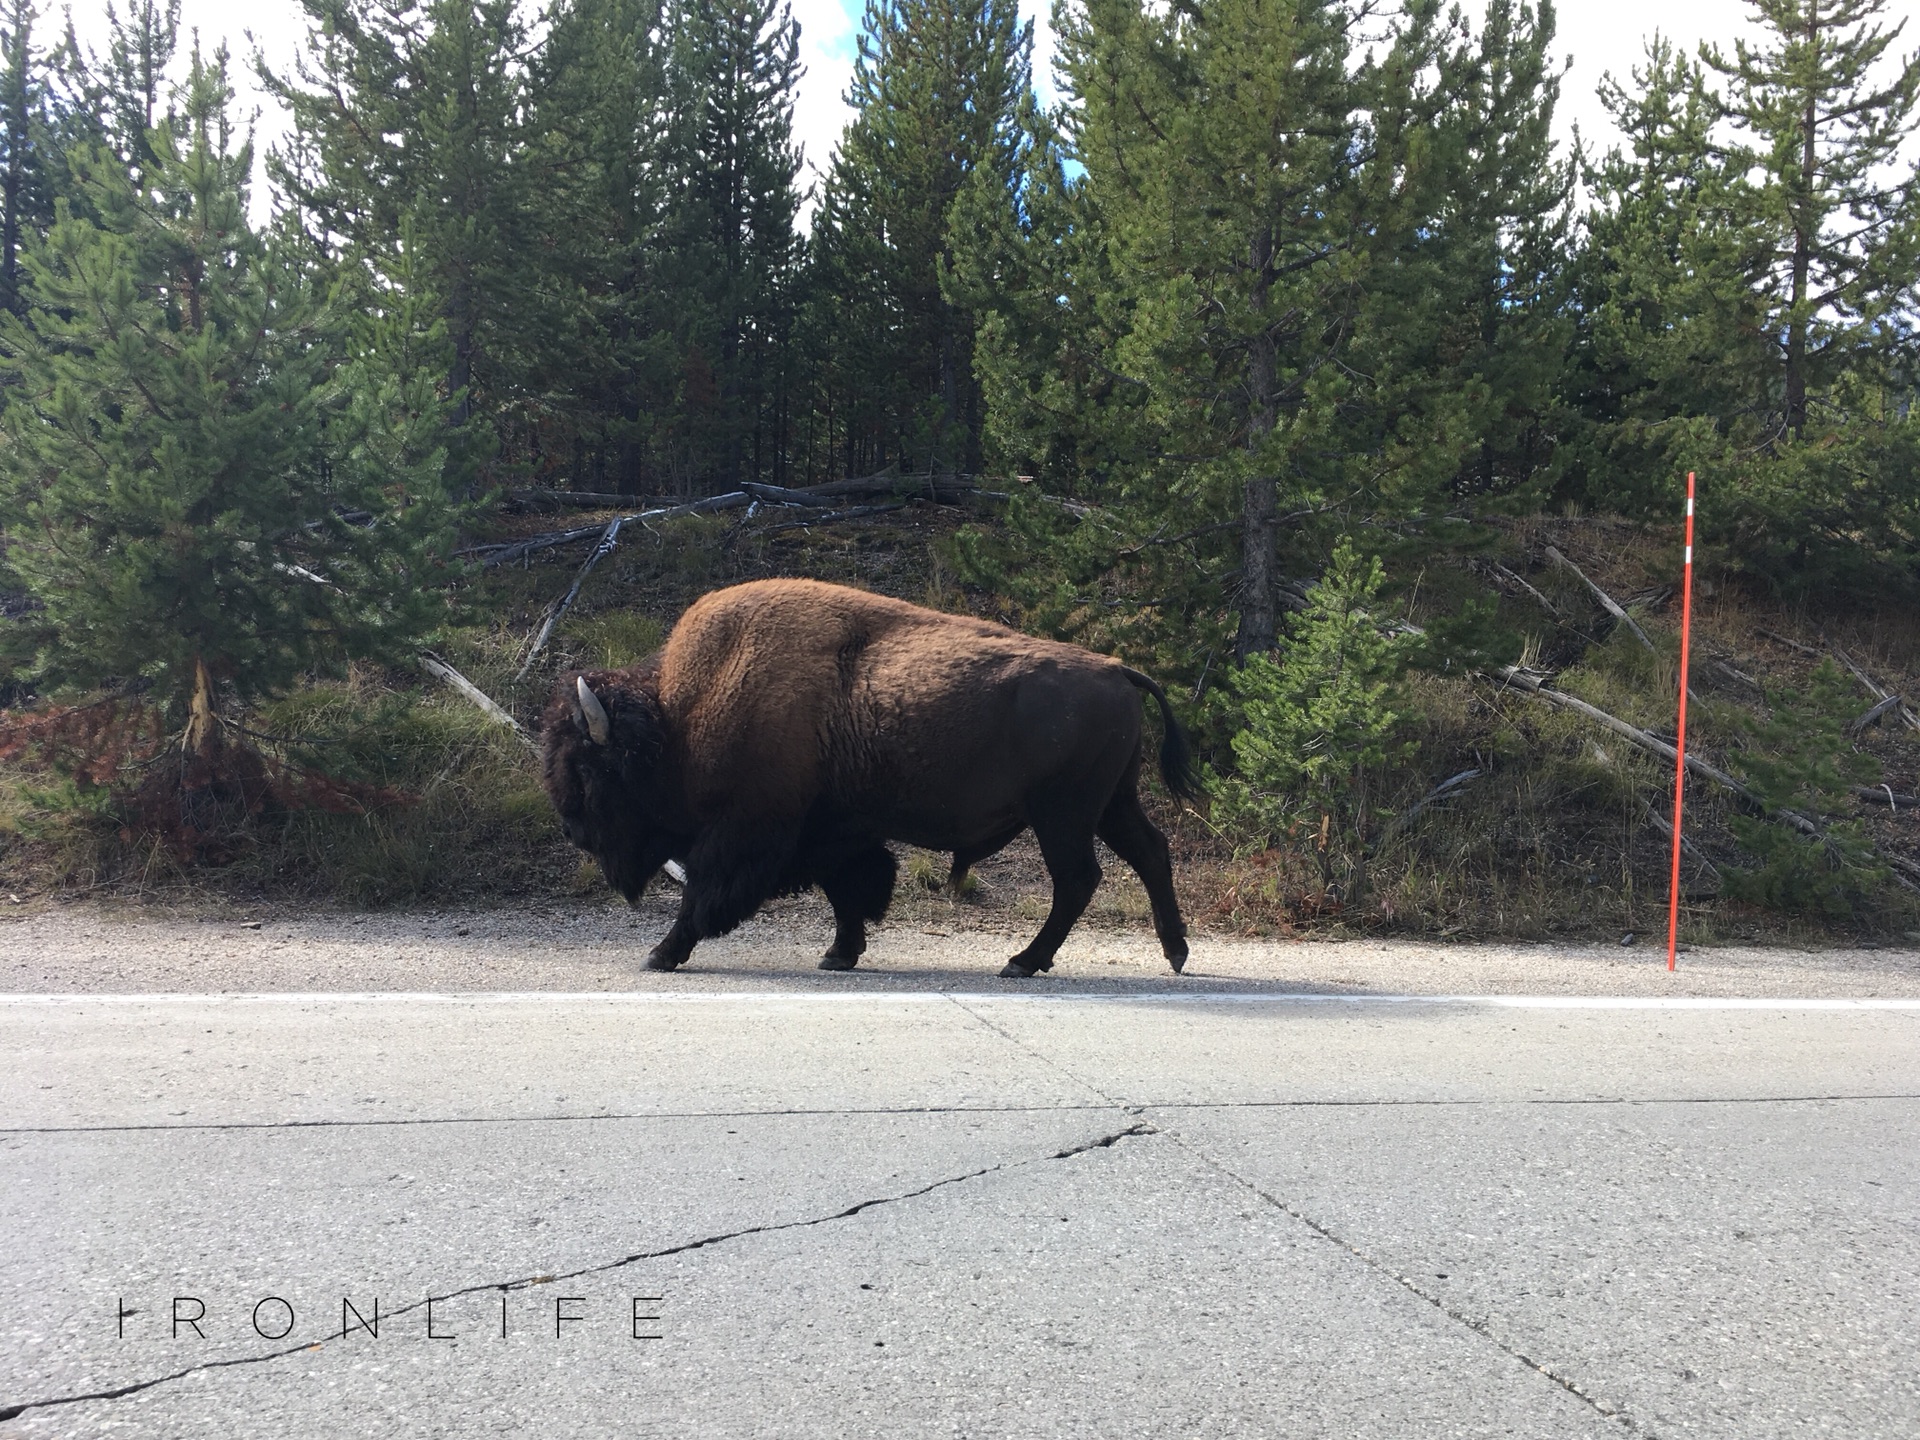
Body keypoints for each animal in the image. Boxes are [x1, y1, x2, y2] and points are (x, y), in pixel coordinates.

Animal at [541, 579, 1190, 983]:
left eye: (591, 772)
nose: (572, 831)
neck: (680, 717)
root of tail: (1117, 670)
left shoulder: (745, 832)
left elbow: (702, 894)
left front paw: (660, 953)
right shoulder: (830, 831)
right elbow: (847, 889)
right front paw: (839, 955)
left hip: (1063, 815)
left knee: (1078, 879)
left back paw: (1023, 962)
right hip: (1110, 804)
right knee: (1149, 853)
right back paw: (1176, 952)